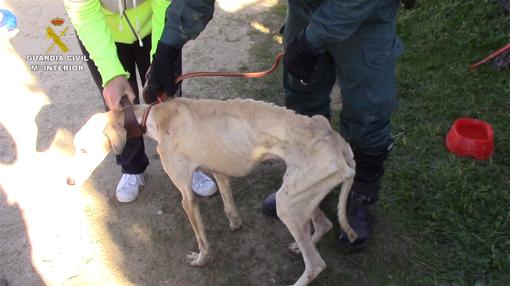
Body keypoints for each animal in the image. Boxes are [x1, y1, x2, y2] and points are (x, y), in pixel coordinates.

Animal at [66, 98, 354, 286]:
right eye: (76, 147)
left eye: (84, 150)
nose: (68, 181)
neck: (156, 116)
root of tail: (340, 146)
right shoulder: (219, 171)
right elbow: (229, 204)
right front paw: (235, 224)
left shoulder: (187, 197)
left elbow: (201, 239)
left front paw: (201, 259)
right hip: (300, 195)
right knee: (324, 224)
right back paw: (301, 243)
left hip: (288, 204)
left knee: (316, 264)